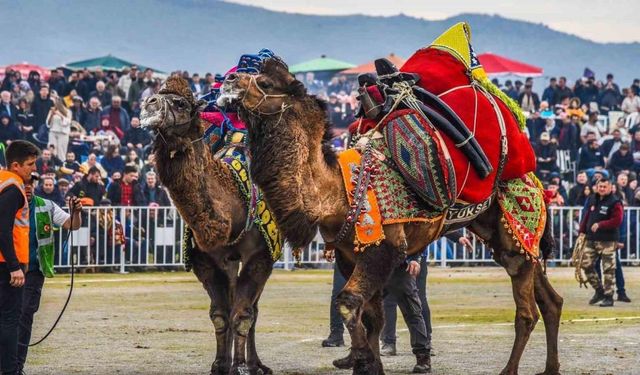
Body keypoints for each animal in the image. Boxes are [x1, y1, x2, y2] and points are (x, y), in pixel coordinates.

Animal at [142, 77, 276, 375]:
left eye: (180, 103)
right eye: (156, 93)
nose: (147, 105)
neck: (233, 205)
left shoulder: (260, 255)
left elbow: (243, 315)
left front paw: (241, 367)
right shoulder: (204, 259)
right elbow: (220, 315)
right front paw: (220, 365)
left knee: (253, 309)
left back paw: (256, 364)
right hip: (230, 261)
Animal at [222, 58, 564, 375]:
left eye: (265, 82)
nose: (228, 81)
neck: (337, 191)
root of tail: (536, 182)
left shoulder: (383, 248)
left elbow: (349, 303)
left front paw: (362, 360)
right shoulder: (349, 254)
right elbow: (371, 315)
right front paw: (368, 363)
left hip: (517, 228)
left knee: (526, 311)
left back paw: (510, 369)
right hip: (505, 235)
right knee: (551, 301)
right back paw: (551, 367)